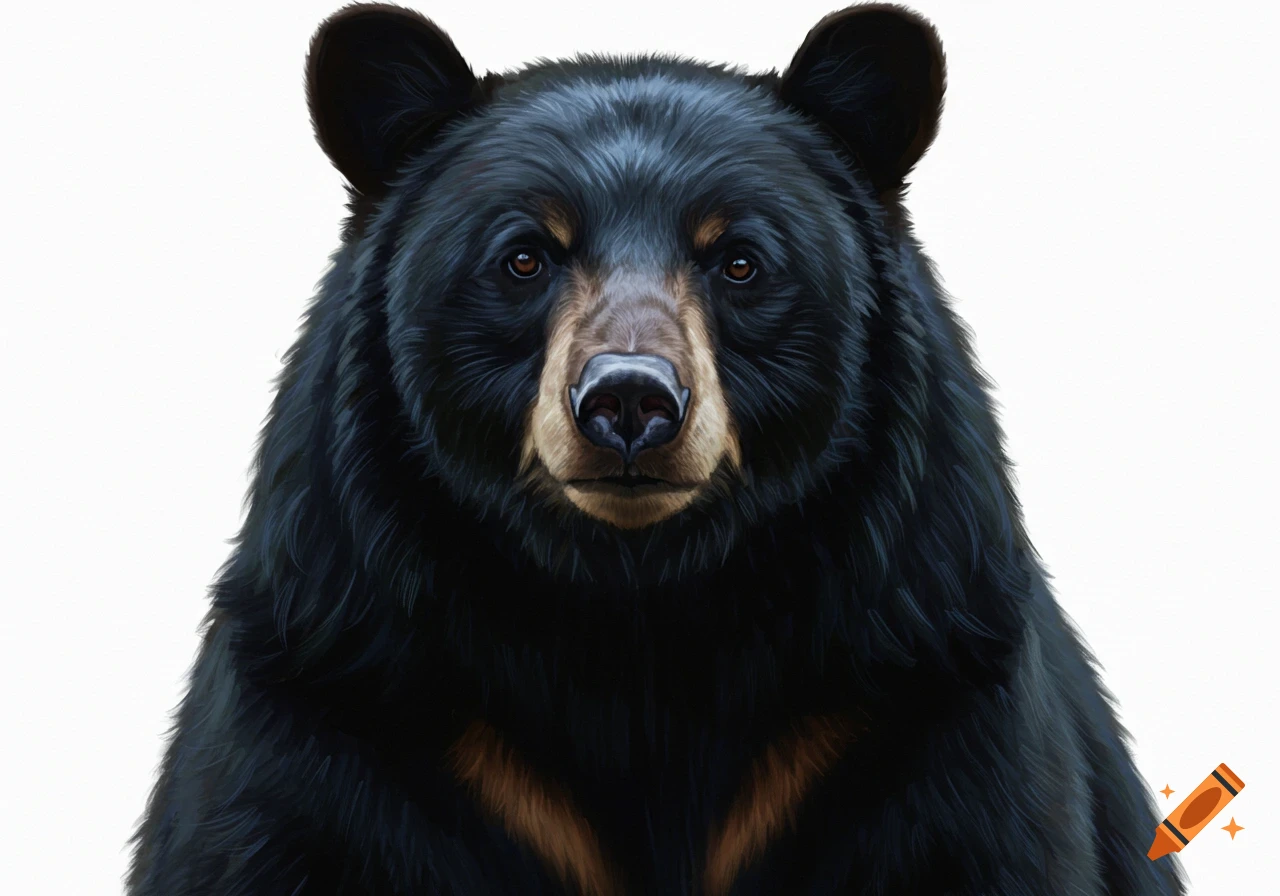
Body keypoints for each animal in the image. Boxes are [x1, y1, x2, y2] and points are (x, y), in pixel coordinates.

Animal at [127, 4, 1187, 895]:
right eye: (524, 256)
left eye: (741, 261)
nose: (629, 402)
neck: (639, 616)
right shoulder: (336, 688)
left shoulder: (922, 689)